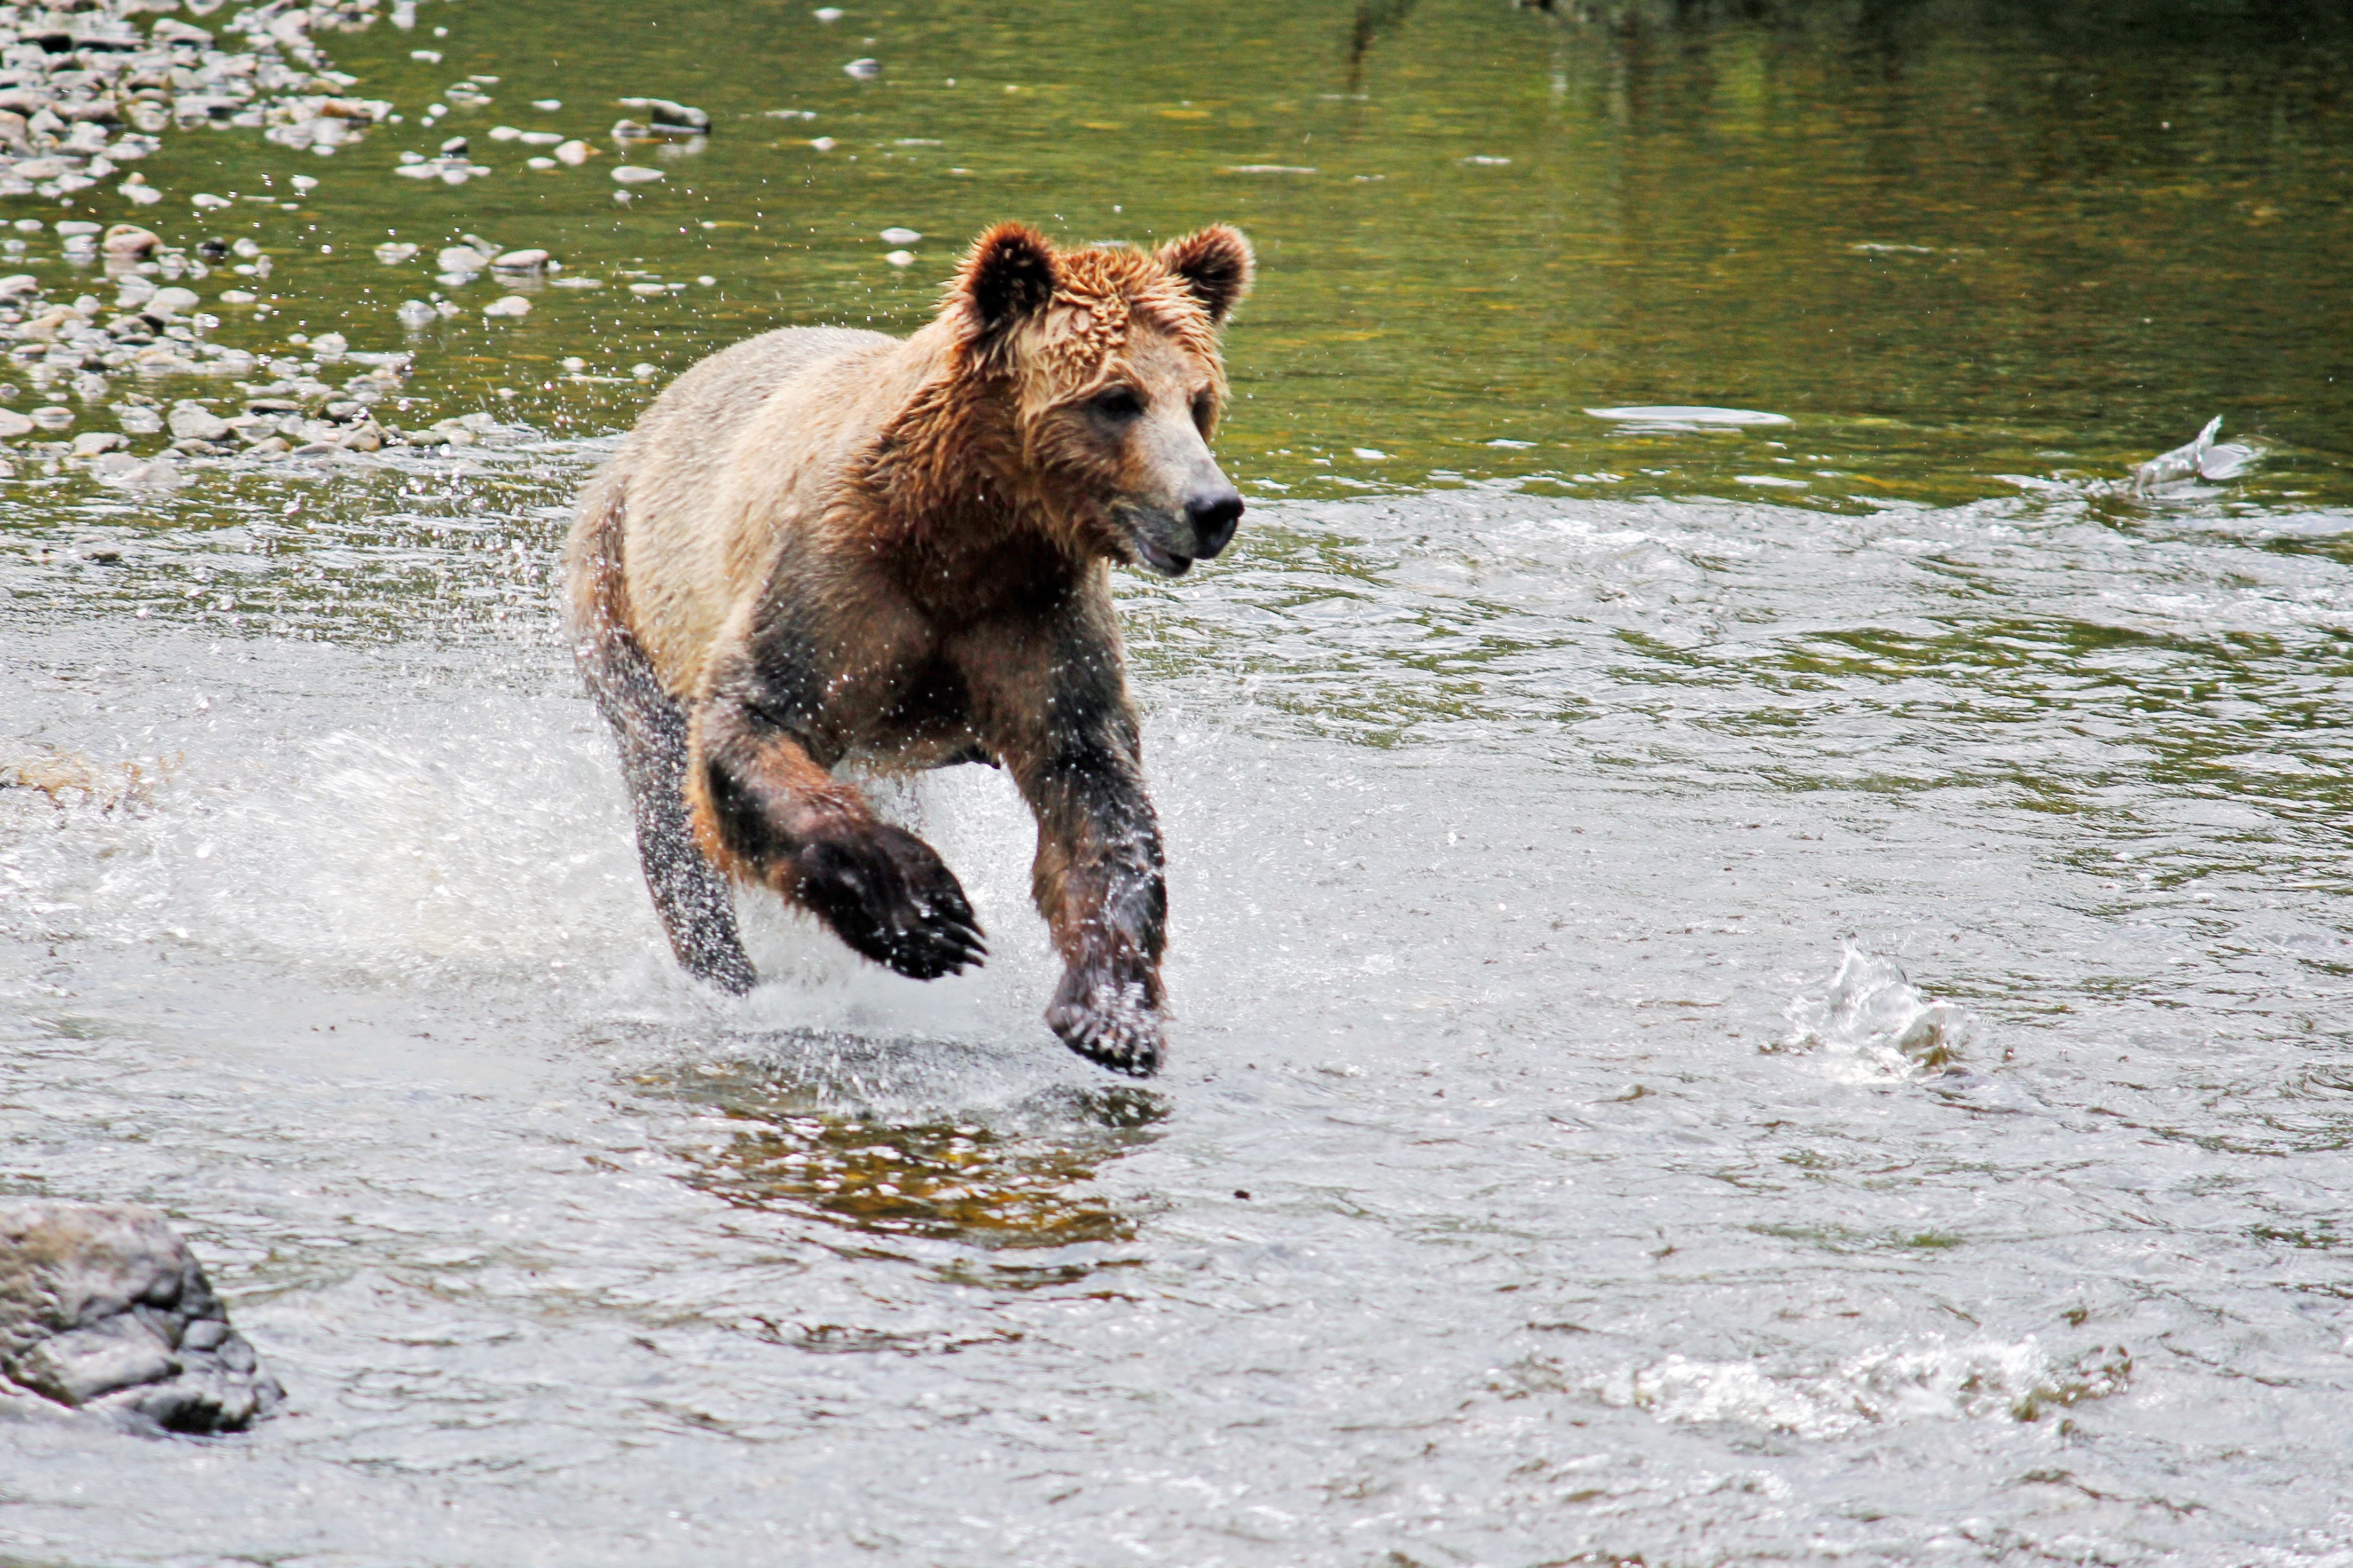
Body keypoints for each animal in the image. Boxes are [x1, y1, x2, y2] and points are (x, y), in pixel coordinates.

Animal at [558, 223, 1251, 1081]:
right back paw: (727, 973)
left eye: (1198, 399)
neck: (963, 532)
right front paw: (928, 916)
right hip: (622, 598)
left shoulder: (1035, 619)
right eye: (1115, 399)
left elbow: (1093, 788)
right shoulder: (837, 580)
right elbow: (753, 723)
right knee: (667, 807)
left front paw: (1112, 1014)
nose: (1212, 507)